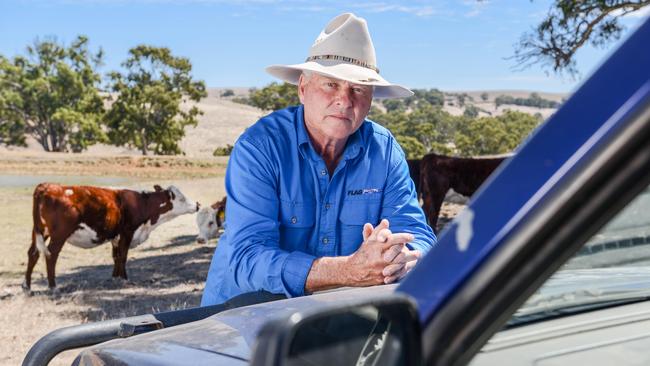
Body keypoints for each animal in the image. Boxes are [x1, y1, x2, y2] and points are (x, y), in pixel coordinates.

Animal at [22, 183, 199, 292]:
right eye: (181, 198)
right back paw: (53, 286)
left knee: (33, 253)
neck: (141, 204)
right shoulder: (128, 232)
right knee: (51, 254)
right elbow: (123, 256)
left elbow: (116, 256)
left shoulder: (115, 236)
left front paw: (115, 277)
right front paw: (124, 279)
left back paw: (27, 287)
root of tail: (47, 186)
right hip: (59, 234)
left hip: (40, 231)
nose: (197, 204)